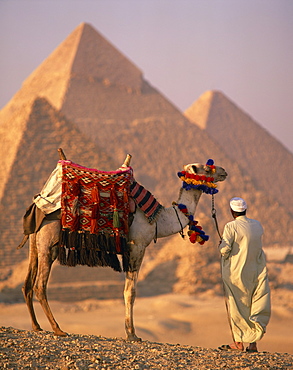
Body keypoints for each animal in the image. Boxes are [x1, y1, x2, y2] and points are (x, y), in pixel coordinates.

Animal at [21, 153, 226, 342]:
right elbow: (131, 291)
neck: (158, 219)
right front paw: (132, 334)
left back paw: (37, 326)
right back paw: (58, 329)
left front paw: (130, 332)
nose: (224, 172)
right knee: (40, 285)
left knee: (27, 284)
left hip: (36, 242)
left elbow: (127, 289)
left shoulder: (128, 249)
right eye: (207, 168)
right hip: (49, 242)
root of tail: (37, 205)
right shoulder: (138, 245)